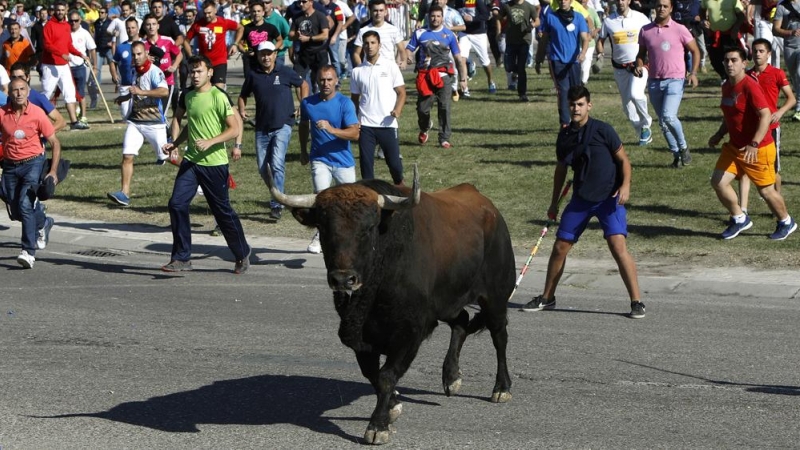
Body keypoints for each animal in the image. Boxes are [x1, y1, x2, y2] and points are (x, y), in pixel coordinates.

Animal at [266, 164, 516, 442]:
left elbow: (386, 375)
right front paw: (393, 405)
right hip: (446, 301)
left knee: (499, 338)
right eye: (323, 226)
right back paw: (451, 378)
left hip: (495, 297)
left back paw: (501, 387)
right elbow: (372, 374)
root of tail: (487, 206)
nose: (343, 279)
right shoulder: (360, 337)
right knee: (461, 322)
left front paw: (378, 425)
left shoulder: (410, 332)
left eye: (369, 227)